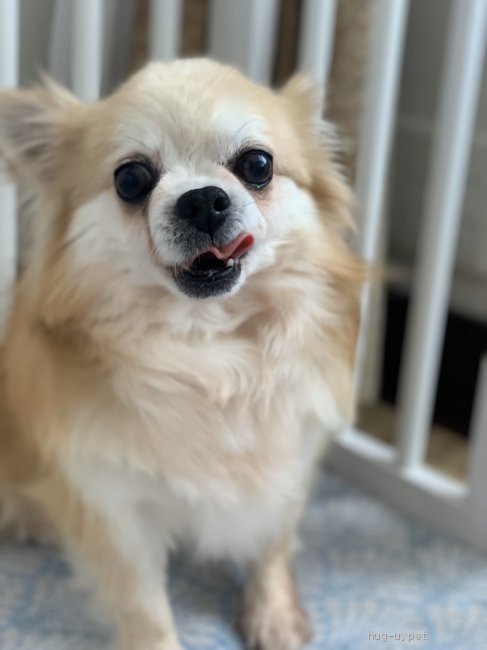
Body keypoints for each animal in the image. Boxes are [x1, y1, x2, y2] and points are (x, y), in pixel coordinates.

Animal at [0, 59, 363, 650]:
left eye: (257, 165)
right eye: (131, 179)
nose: (202, 199)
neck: (208, 350)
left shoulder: (290, 460)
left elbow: (272, 544)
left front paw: (272, 613)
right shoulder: (112, 508)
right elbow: (143, 604)